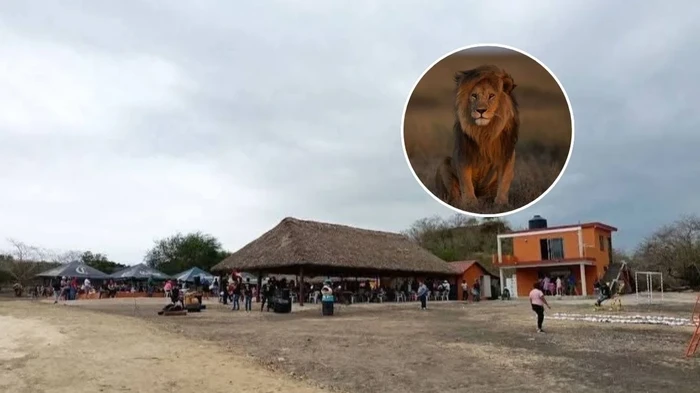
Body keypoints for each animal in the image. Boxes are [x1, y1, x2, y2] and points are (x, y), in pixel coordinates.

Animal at [434, 64, 516, 208]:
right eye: (474, 96)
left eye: (491, 96)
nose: (481, 110)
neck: (484, 131)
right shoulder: (463, 153)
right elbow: (466, 181)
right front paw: (470, 203)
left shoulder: (507, 154)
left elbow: (505, 180)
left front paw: (501, 203)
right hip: (444, 163)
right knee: (453, 193)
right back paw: (460, 202)